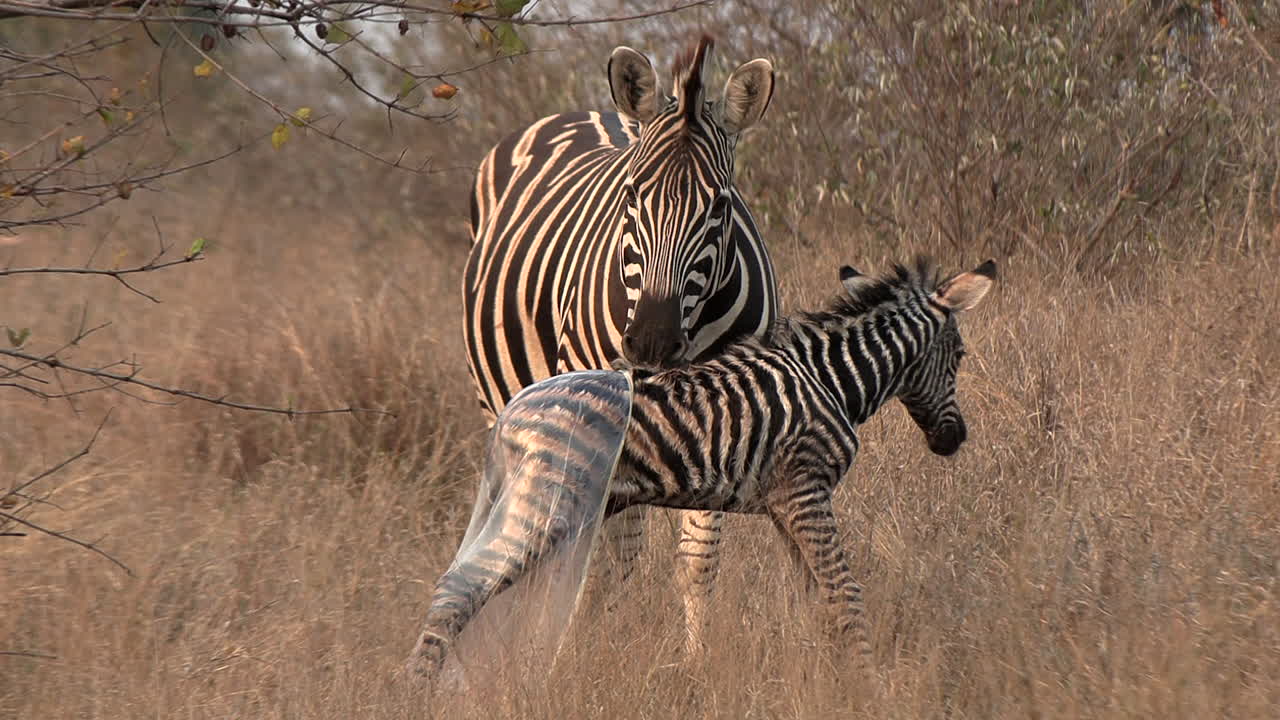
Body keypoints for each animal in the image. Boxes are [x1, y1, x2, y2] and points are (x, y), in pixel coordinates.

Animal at [410, 257, 997, 677]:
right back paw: (418, 691)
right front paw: (868, 683)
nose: (955, 441)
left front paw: (825, 674)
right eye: (961, 355)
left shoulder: (784, 506)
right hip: (549, 503)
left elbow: (816, 598)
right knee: (460, 587)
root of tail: (516, 408)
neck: (830, 379)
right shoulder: (806, 490)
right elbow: (845, 592)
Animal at [461, 33, 778, 652]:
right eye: (631, 195)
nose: (652, 342)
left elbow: (697, 561)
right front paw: (580, 656)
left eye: (720, 205)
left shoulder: (734, 416)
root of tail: (587, 112)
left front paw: (699, 663)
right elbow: (600, 560)